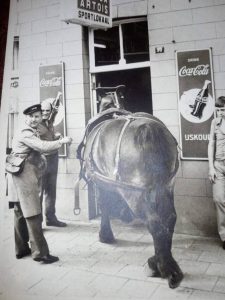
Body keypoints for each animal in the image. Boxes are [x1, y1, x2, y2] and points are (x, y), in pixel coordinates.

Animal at [77, 86, 183, 288]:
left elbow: (104, 206)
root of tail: (150, 130)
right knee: (169, 219)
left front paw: (105, 235)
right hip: (166, 186)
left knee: (154, 224)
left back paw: (163, 267)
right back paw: (165, 262)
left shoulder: (101, 183)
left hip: (135, 193)